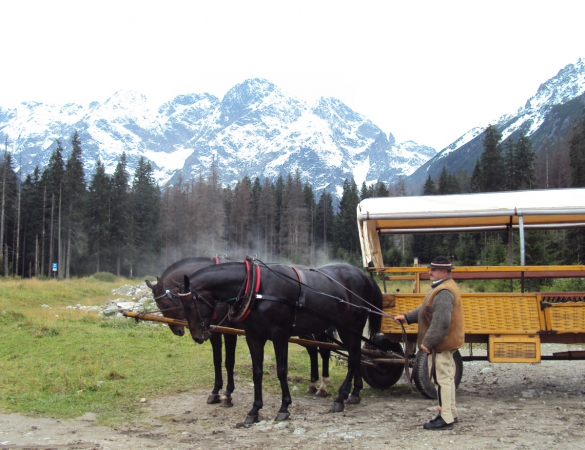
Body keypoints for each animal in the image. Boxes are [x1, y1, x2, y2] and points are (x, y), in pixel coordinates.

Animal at [144, 255, 330, 406]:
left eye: (165, 304)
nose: (178, 331)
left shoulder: (228, 331)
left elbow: (228, 361)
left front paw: (227, 394)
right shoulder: (214, 331)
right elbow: (217, 360)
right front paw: (216, 392)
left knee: (324, 350)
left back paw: (323, 386)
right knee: (313, 350)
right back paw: (313, 384)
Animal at [178, 258, 384, 424]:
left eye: (189, 305)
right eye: (181, 305)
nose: (198, 336)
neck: (255, 288)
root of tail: (363, 276)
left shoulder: (279, 335)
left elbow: (281, 370)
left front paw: (284, 407)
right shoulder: (254, 337)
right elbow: (257, 372)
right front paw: (254, 410)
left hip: (351, 327)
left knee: (353, 357)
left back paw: (340, 398)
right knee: (355, 355)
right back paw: (354, 394)